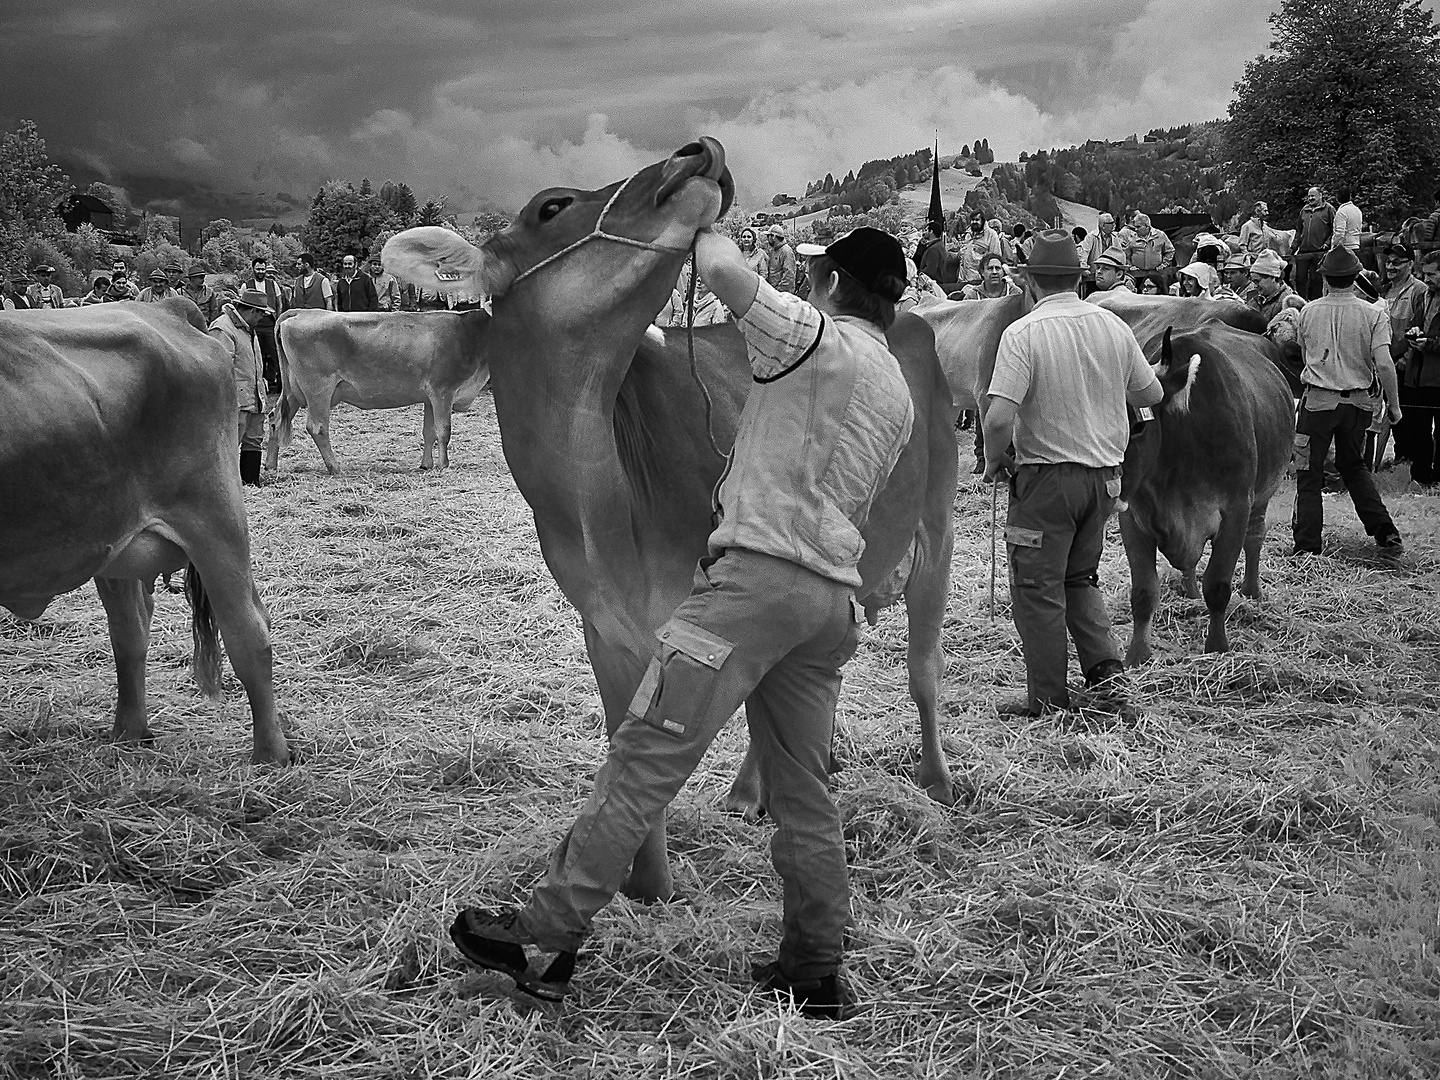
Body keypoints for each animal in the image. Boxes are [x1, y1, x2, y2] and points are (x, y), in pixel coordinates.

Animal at [0, 300, 289, 766]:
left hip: (215, 518)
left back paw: (271, 754)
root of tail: (170, 307)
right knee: (130, 635)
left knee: (248, 632)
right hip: (114, 546)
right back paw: (128, 733)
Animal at [267, 306, 492, 472]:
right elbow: (444, 431)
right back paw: (335, 467)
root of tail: (300, 312)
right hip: (318, 389)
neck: (468, 334)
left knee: (275, 418)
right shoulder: (442, 391)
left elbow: (429, 432)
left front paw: (426, 465)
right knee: (317, 427)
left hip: (293, 390)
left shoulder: (429, 397)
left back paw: (270, 466)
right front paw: (444, 465)